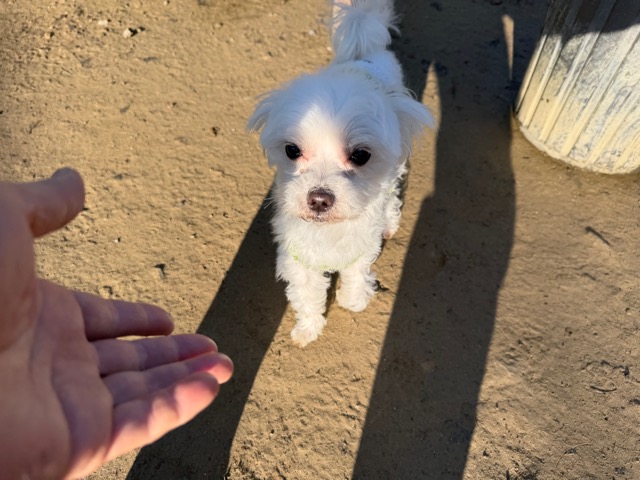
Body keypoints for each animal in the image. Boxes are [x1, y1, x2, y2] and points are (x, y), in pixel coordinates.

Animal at [247, 0, 433, 347]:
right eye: (291, 150)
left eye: (360, 155)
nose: (319, 199)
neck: (328, 232)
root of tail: (365, 55)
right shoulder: (300, 260)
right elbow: (307, 296)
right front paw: (307, 329)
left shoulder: (361, 250)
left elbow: (356, 277)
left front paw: (354, 300)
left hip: (395, 168)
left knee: (392, 197)